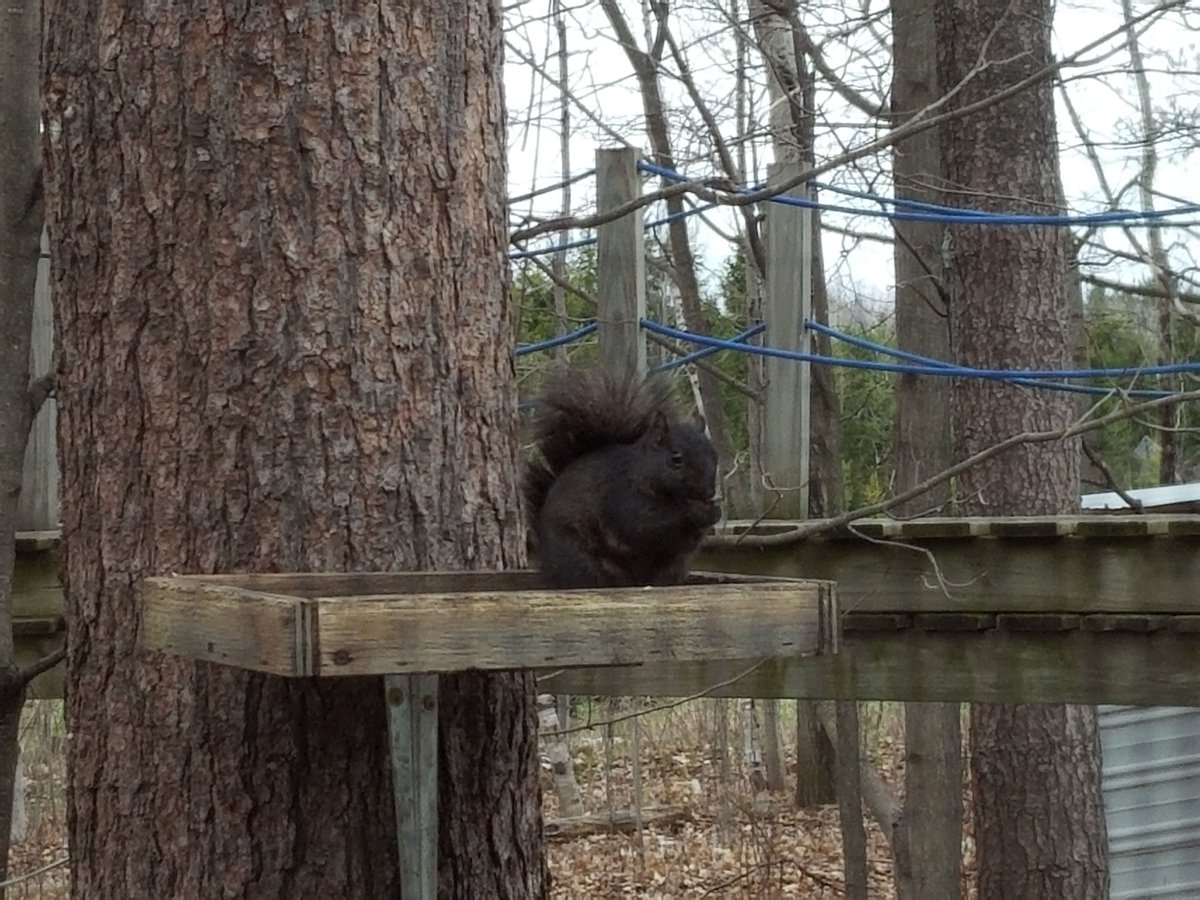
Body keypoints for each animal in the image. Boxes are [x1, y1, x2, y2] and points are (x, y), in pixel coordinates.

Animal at [523, 367, 721, 589]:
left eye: (714, 454)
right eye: (676, 458)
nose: (709, 491)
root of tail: (549, 572)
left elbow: (684, 543)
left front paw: (714, 511)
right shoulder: (622, 496)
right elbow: (644, 525)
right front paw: (695, 510)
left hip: (671, 570)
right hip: (578, 560)